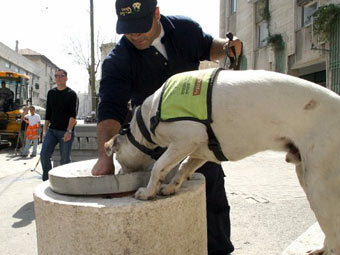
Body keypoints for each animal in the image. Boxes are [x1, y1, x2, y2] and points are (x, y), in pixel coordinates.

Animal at [105, 69, 340, 255]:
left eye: (117, 156)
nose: (118, 174)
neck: (147, 120)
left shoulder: (184, 139)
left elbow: (159, 166)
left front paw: (148, 191)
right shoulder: (200, 150)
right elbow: (184, 168)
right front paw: (172, 187)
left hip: (319, 183)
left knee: (334, 236)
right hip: (304, 170)